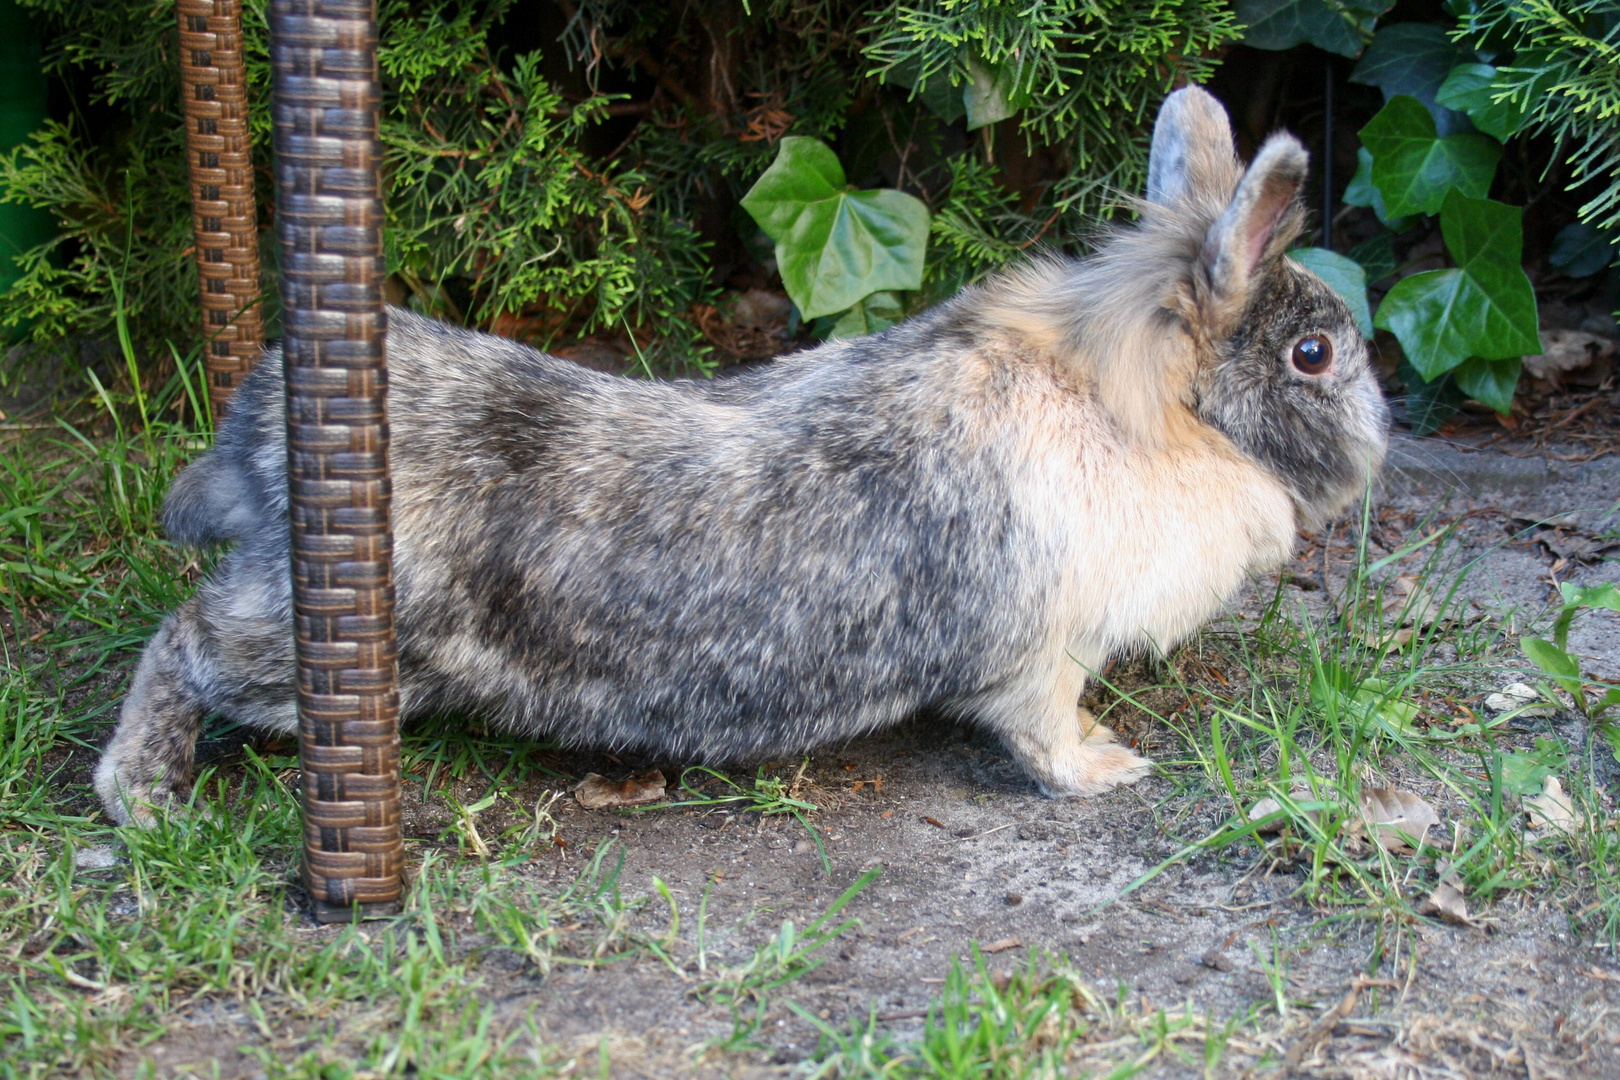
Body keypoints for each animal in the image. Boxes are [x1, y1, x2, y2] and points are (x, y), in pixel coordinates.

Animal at [98, 86, 1393, 829]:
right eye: (1316, 354)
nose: (1383, 443)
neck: (1154, 414)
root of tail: (263, 439)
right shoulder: (1040, 655)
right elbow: (1043, 732)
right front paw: (1110, 771)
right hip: (314, 651)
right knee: (183, 641)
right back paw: (141, 798)